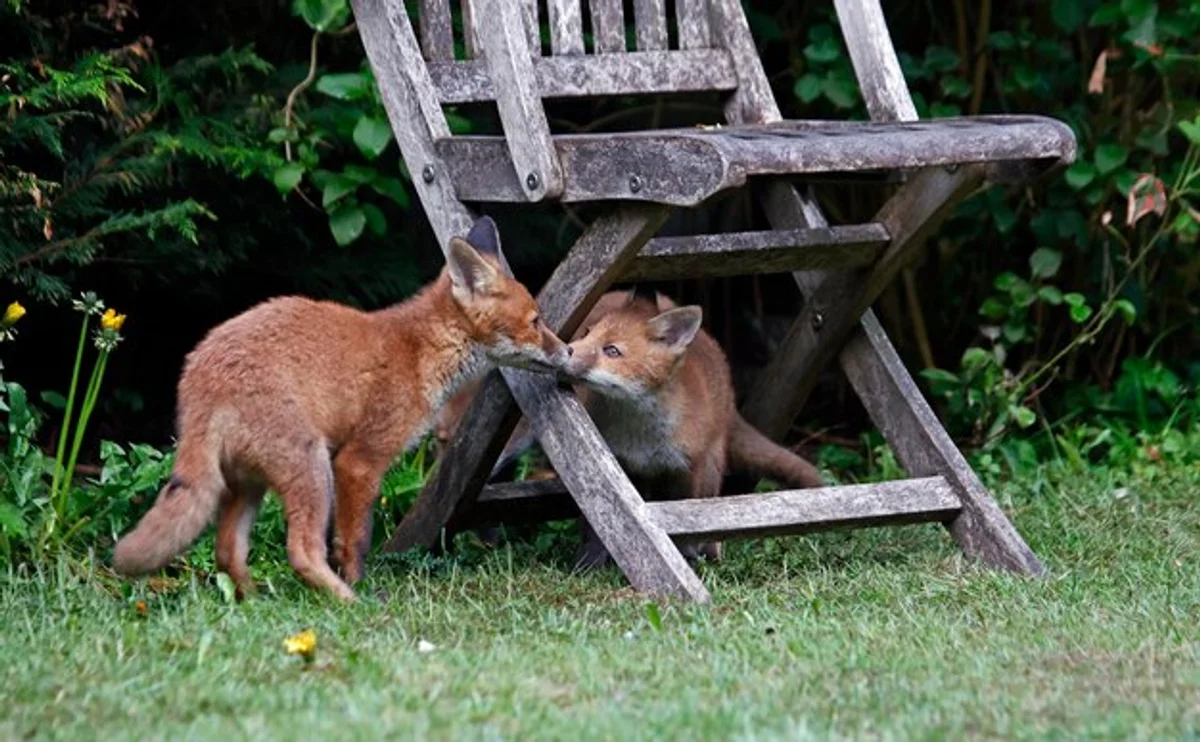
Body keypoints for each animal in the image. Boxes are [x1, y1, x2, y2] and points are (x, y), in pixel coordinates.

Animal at [111, 216, 567, 601]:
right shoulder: (358, 461)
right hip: (312, 469)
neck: (421, 351)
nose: (567, 351)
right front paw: (359, 583)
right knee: (301, 552)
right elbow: (355, 539)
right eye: (536, 321)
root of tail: (199, 375)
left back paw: (255, 603)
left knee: (227, 551)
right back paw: (348, 601)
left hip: (249, 484)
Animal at [434, 288, 827, 567]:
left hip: (710, 463)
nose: (565, 351)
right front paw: (591, 562)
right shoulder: (614, 469)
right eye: (588, 333)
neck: (641, 435)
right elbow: (598, 526)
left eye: (612, 350)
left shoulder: (688, 470)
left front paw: (686, 557)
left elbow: (690, 519)